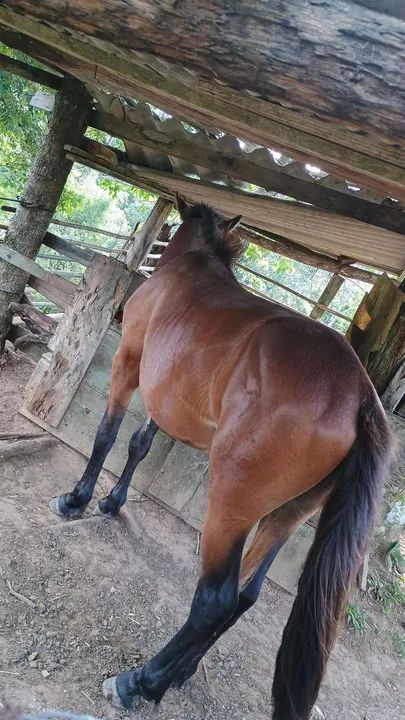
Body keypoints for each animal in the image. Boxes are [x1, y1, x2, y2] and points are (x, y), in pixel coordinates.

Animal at [50, 197, 392, 719]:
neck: (192, 266)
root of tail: (360, 395)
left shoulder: (129, 362)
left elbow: (107, 435)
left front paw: (78, 499)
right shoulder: (167, 399)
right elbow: (139, 444)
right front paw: (112, 502)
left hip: (230, 506)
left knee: (216, 600)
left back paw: (141, 682)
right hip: (286, 514)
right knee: (244, 597)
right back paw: (180, 672)